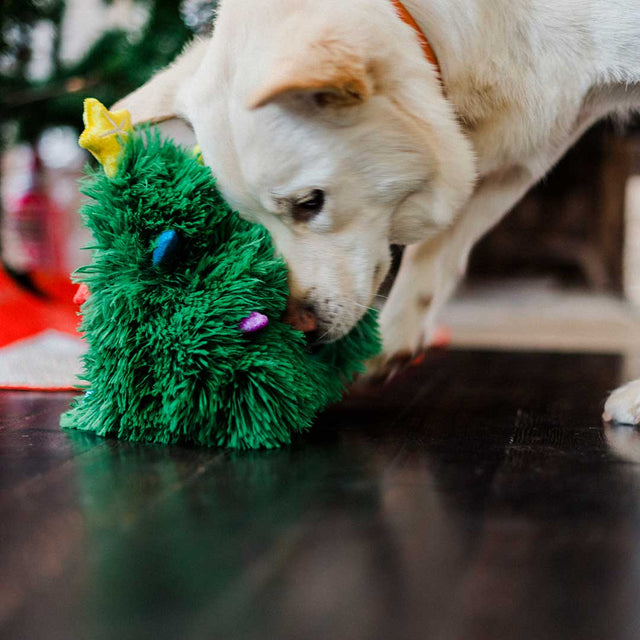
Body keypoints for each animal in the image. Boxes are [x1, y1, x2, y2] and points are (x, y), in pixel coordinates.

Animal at [115, 1, 640, 424]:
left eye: (310, 203)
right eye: (252, 223)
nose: (301, 331)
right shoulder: (527, 140)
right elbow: (435, 252)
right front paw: (385, 346)